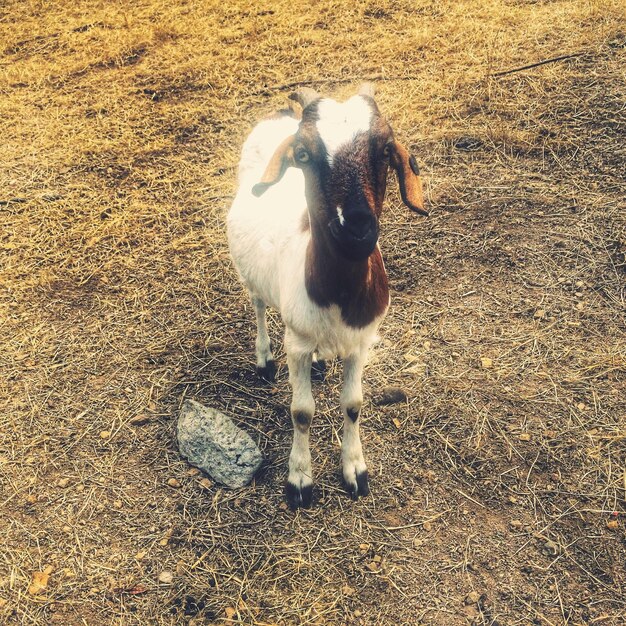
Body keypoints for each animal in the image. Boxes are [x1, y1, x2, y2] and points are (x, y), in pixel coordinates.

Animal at [227, 83, 426, 508]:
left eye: (385, 150)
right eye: (302, 155)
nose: (357, 227)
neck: (338, 293)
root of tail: (279, 114)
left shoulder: (361, 341)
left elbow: (353, 405)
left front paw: (355, 470)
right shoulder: (297, 342)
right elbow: (302, 411)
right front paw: (300, 480)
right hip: (250, 276)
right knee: (258, 305)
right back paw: (264, 360)